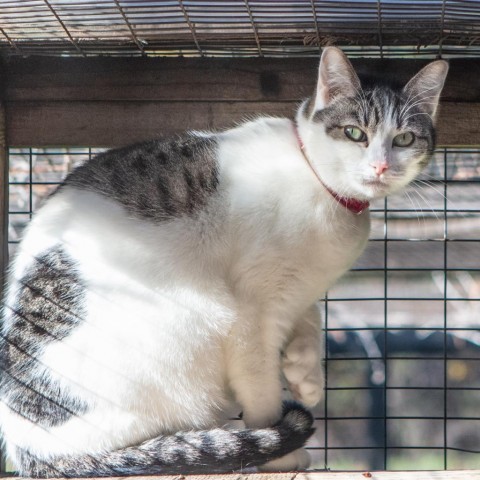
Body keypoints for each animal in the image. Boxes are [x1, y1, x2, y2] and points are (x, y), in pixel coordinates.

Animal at [0, 47, 446, 476]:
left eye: (404, 139)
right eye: (355, 133)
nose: (381, 166)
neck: (327, 194)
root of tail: (30, 452)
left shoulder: (296, 288)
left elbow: (310, 316)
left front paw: (305, 372)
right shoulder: (254, 312)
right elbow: (262, 388)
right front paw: (282, 457)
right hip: (192, 323)